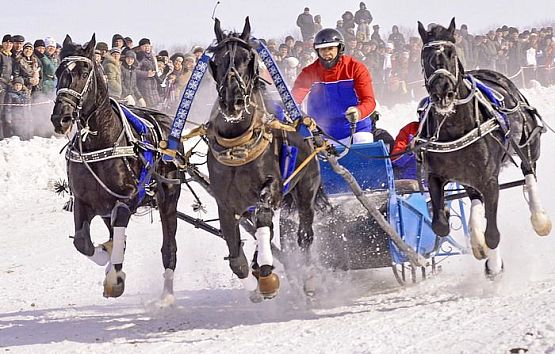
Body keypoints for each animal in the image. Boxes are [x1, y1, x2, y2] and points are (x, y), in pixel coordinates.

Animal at [50, 35, 181, 302]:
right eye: (59, 72)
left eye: (84, 72)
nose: (61, 118)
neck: (100, 141)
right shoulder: (85, 201)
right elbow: (83, 243)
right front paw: (107, 257)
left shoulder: (126, 199)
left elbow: (120, 230)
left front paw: (114, 278)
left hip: (169, 198)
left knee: (169, 247)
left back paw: (167, 296)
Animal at [206, 17, 322, 298]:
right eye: (217, 60)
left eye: (249, 58)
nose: (233, 101)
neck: (238, 143)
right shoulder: (224, 201)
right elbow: (235, 255)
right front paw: (251, 277)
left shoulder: (273, 187)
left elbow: (264, 216)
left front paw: (267, 271)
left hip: (307, 186)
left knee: (304, 232)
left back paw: (307, 277)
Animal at [420, 18, 548, 280]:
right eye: (424, 55)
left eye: (451, 53)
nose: (442, 91)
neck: (455, 129)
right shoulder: (436, 175)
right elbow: (440, 225)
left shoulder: (489, 180)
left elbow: (493, 234)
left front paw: (494, 265)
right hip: (469, 175)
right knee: (475, 197)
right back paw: (477, 240)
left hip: (529, 142)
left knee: (529, 171)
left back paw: (538, 217)